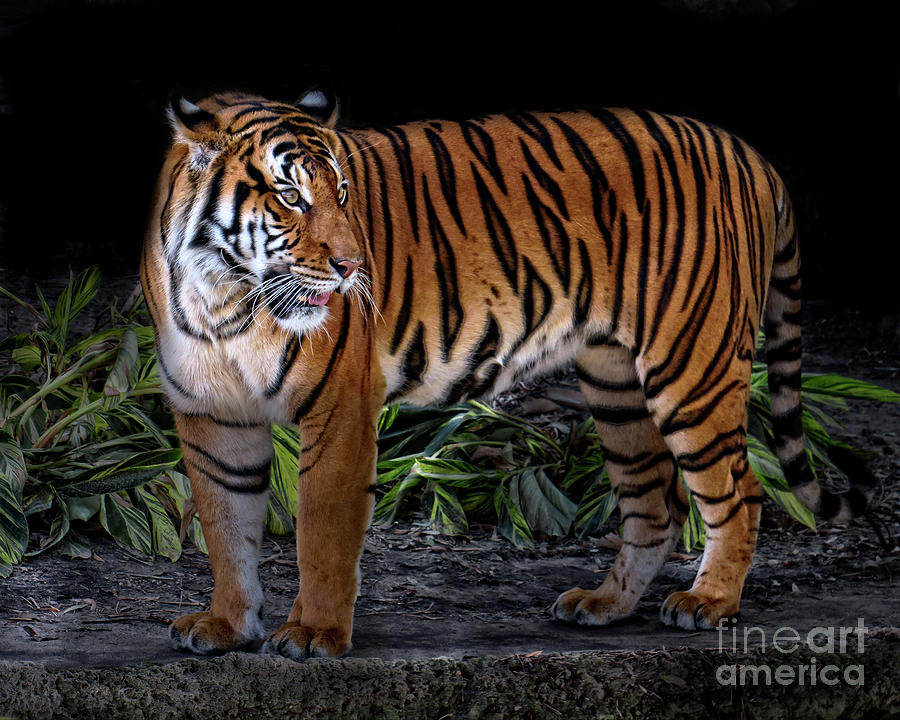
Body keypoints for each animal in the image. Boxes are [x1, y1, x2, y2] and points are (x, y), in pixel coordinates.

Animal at [139, 87, 872, 660]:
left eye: (343, 195)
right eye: (290, 196)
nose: (353, 267)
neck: (226, 298)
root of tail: (748, 151)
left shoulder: (340, 411)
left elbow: (321, 532)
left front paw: (314, 634)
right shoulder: (210, 416)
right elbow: (226, 527)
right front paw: (227, 624)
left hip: (691, 366)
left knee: (740, 491)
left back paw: (709, 602)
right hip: (617, 386)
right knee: (656, 502)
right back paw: (605, 603)